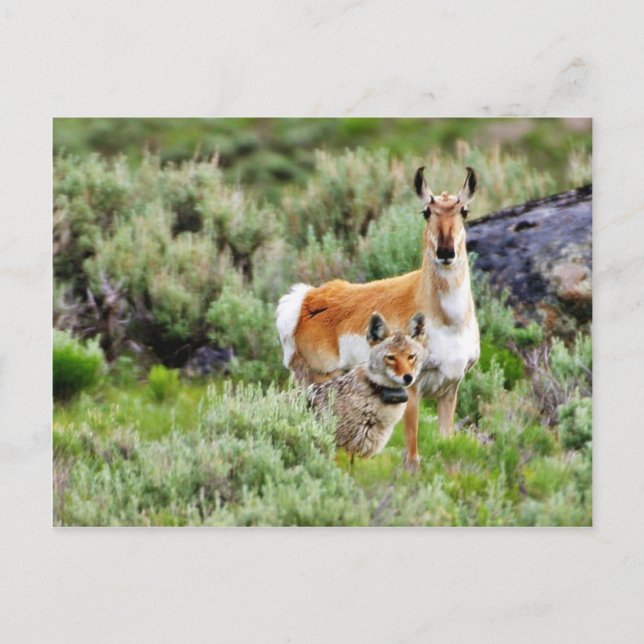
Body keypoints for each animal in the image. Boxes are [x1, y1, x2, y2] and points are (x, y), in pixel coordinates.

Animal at [276, 166, 480, 469]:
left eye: (464, 210)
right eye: (426, 212)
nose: (445, 252)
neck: (449, 321)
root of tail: (306, 300)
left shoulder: (449, 388)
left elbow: (448, 443)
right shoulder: (412, 388)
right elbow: (412, 453)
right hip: (321, 382)